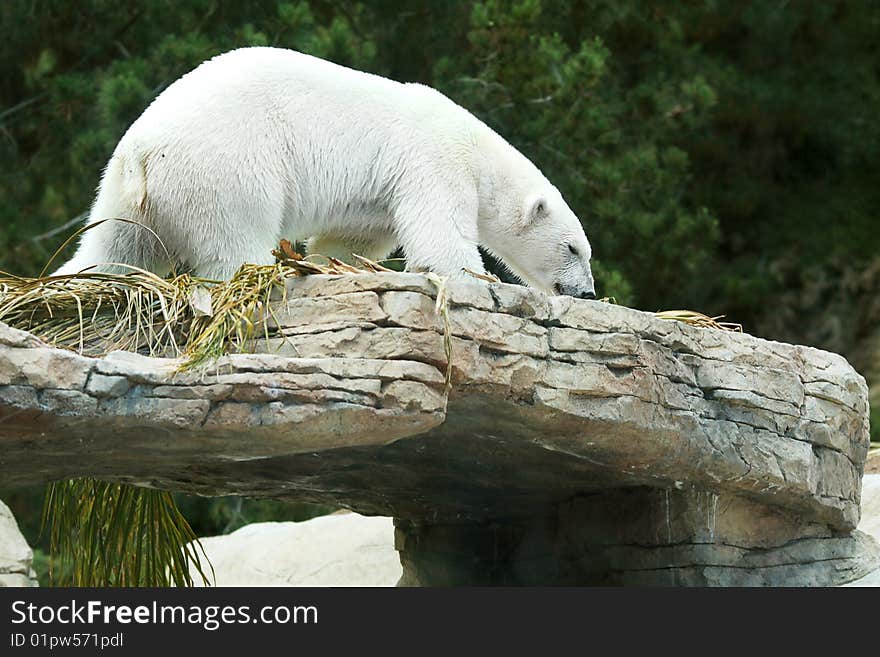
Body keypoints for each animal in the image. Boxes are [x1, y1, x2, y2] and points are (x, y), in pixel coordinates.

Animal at [51, 47, 596, 298]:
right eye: (573, 249)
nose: (587, 291)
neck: (479, 153)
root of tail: (142, 149)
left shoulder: (378, 197)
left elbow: (353, 237)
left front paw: (332, 262)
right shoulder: (434, 159)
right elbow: (439, 234)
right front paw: (476, 278)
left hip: (127, 193)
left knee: (114, 247)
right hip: (226, 165)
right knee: (237, 238)